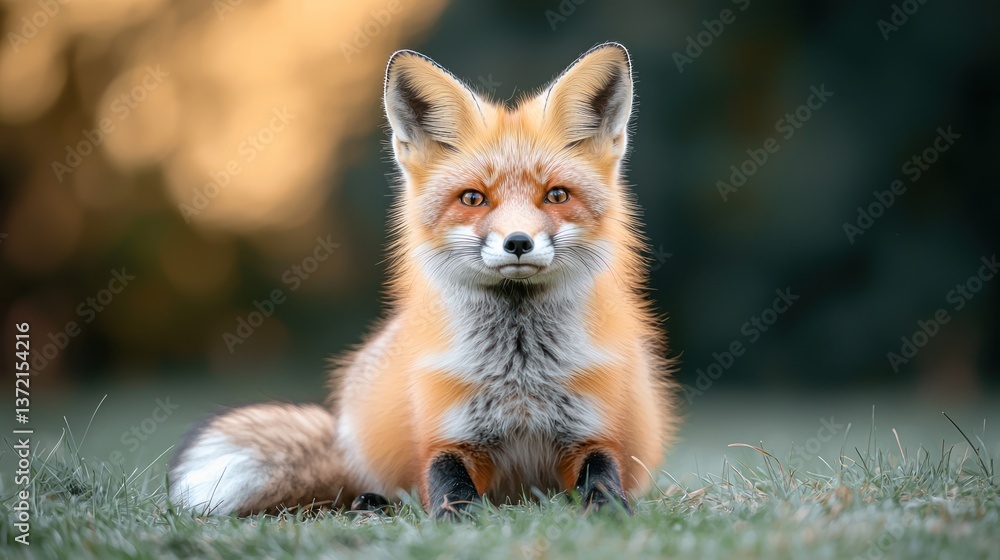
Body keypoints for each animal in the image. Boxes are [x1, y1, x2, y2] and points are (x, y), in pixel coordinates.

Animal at [168, 42, 677, 519]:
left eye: (556, 196)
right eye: (472, 198)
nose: (517, 242)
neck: (519, 375)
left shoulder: (593, 433)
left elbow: (603, 477)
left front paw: (609, 511)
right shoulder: (448, 435)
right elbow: (446, 482)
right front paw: (456, 518)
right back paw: (372, 502)